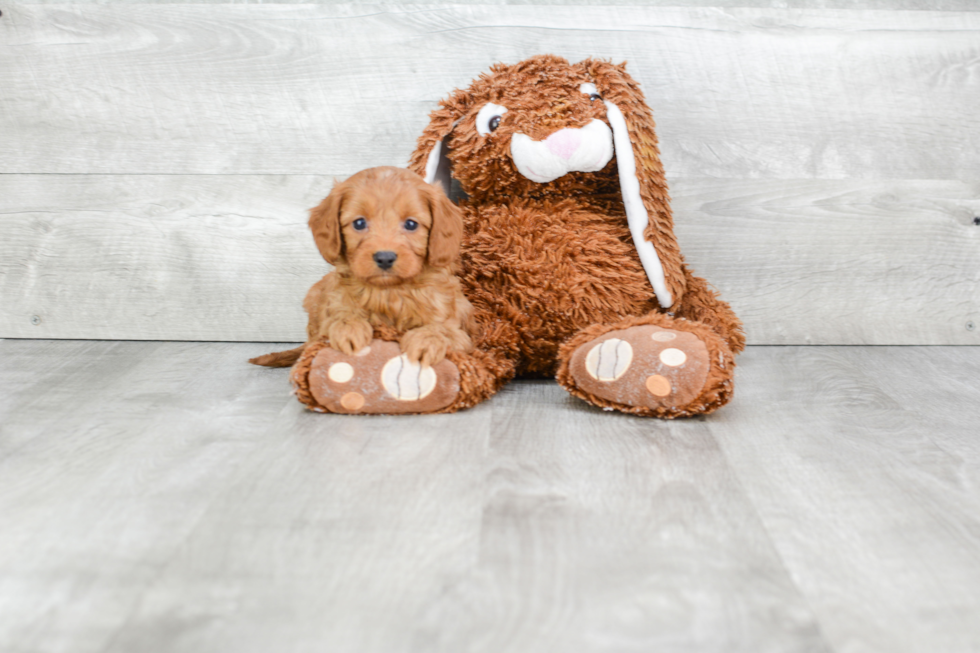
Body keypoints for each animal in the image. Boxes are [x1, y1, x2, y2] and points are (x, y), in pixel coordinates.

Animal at [253, 166, 474, 370]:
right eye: (359, 223)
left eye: (411, 224)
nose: (385, 258)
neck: (388, 292)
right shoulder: (329, 316)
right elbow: (339, 316)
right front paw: (349, 328)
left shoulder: (459, 332)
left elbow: (442, 329)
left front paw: (427, 341)